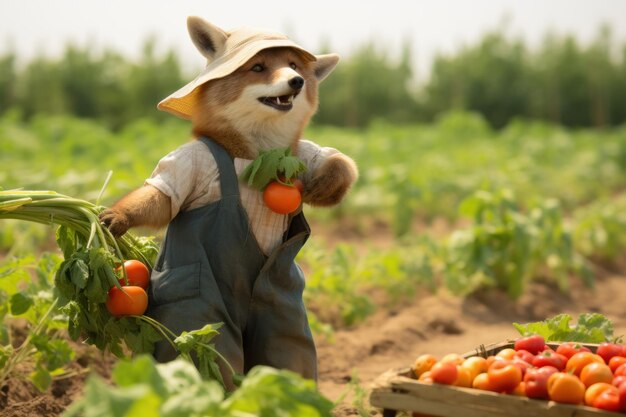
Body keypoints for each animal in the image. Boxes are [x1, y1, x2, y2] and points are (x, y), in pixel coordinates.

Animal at [100, 17, 358, 386]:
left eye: (295, 67)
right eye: (259, 67)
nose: (295, 81)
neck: (256, 154)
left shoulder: (304, 154)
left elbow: (340, 164)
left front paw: (316, 186)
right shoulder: (189, 162)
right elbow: (159, 198)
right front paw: (119, 216)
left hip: (281, 311)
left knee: (287, 353)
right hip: (200, 312)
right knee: (211, 358)